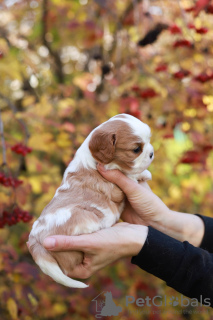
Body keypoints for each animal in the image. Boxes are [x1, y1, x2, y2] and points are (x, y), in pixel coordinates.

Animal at [28, 114, 155, 288]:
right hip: (83, 217)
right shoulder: (116, 187)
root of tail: (35, 243)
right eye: (136, 149)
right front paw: (142, 174)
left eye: (149, 140)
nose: (152, 153)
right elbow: (129, 176)